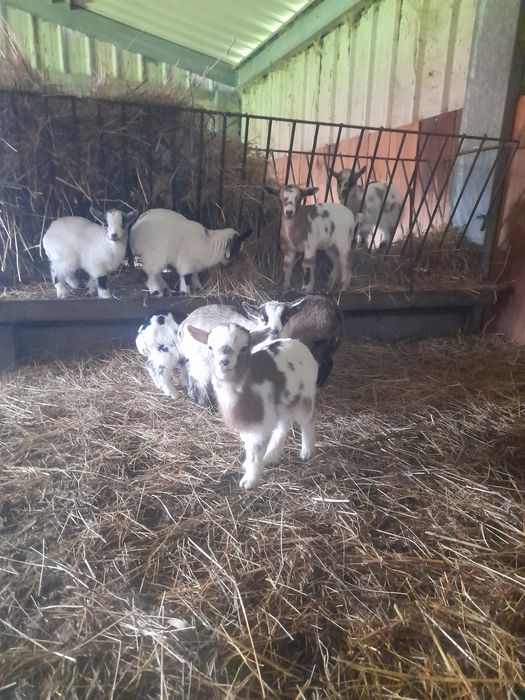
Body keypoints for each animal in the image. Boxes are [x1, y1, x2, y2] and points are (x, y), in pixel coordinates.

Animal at [188, 323, 318, 489]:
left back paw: (306, 451)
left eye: (244, 348)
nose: (224, 362)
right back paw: (271, 456)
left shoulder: (260, 426)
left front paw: (250, 479)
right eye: (210, 347)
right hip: (282, 402)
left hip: (305, 395)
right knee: (283, 426)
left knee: (307, 421)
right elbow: (249, 446)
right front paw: (248, 465)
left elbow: (256, 450)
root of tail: (297, 343)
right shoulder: (249, 424)